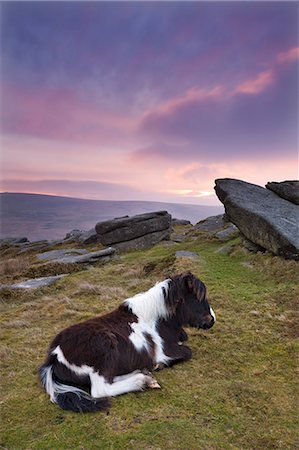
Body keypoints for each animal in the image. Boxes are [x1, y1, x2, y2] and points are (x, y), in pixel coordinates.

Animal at [39, 270, 217, 412]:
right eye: (198, 297)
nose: (212, 320)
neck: (157, 319)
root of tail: (54, 356)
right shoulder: (164, 351)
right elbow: (187, 352)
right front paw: (159, 365)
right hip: (104, 349)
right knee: (101, 389)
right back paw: (142, 381)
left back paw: (143, 374)